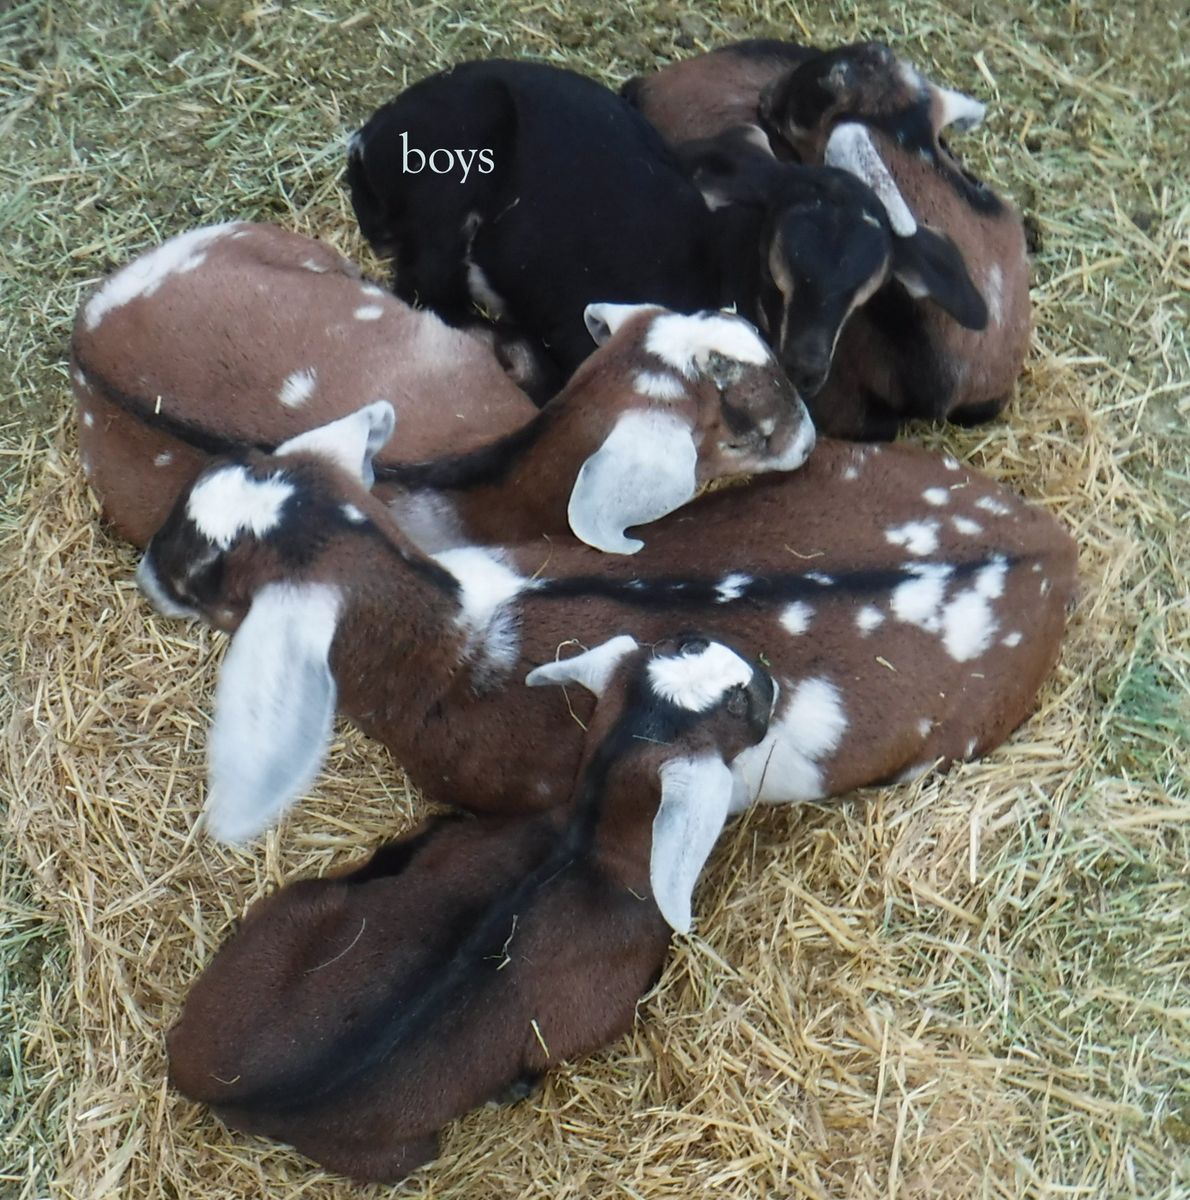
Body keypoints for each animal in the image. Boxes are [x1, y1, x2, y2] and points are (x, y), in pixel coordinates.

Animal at [167, 633, 774, 1182]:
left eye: (687, 641)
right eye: (738, 704)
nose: (767, 675)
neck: (584, 844)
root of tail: (215, 1089)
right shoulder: (598, 1012)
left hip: (290, 916)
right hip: (400, 1155)